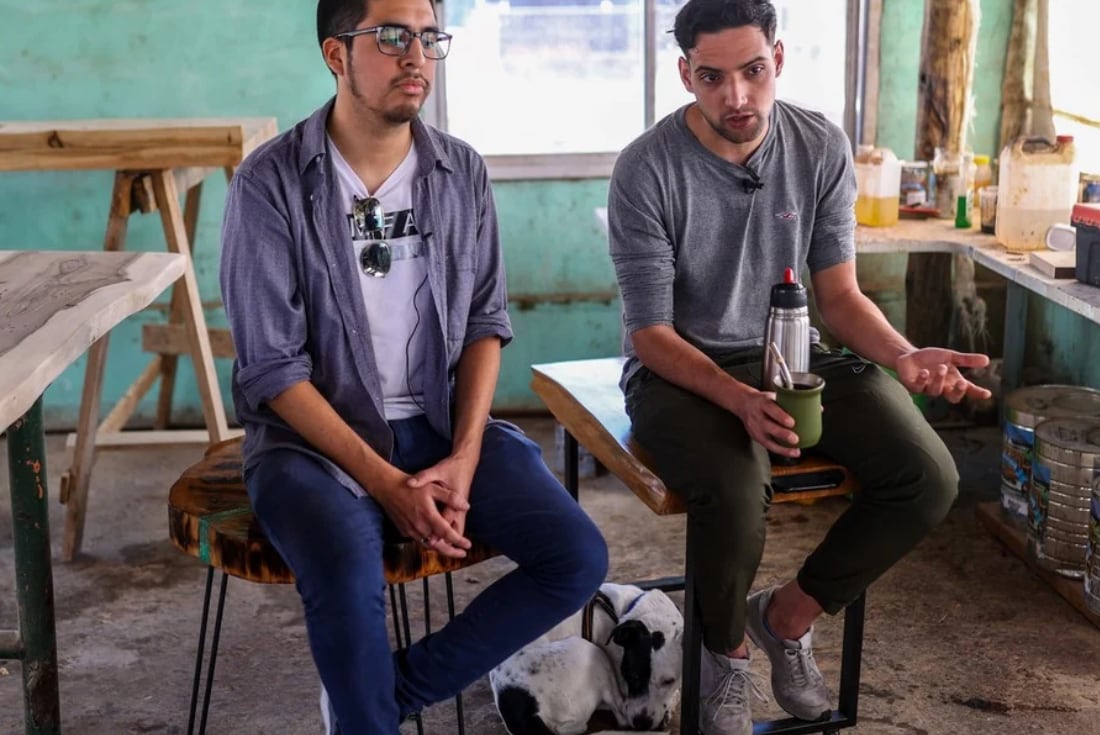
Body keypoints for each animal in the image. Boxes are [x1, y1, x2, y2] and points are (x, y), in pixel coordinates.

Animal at [488, 580, 677, 730]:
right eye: (632, 676)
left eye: (669, 681)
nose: (641, 723)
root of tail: (529, 712)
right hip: (591, 651)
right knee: (619, 711)